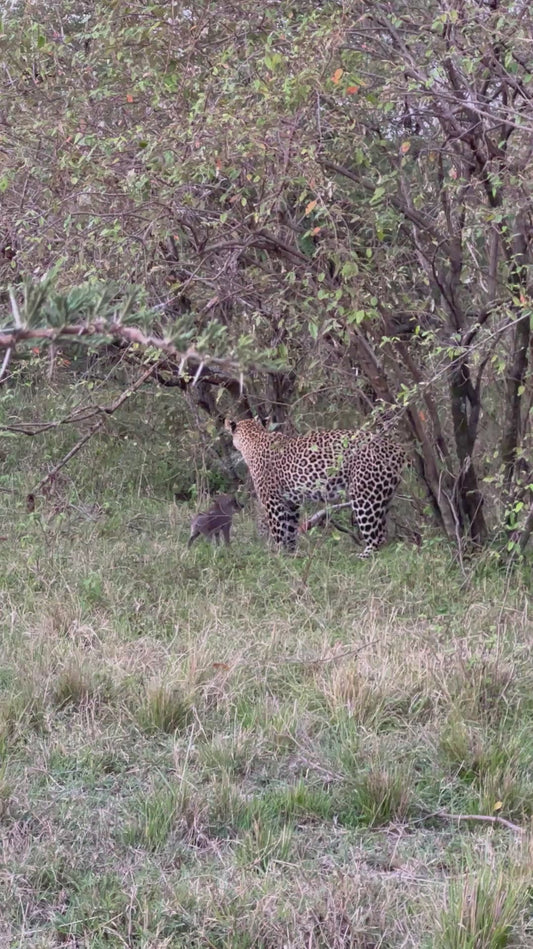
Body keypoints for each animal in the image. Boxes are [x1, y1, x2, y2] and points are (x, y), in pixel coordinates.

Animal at [225, 418, 406, 557]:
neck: (254, 437)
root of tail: (397, 447)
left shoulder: (272, 501)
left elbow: (278, 530)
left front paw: (278, 554)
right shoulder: (291, 502)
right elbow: (290, 530)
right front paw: (291, 554)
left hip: (364, 495)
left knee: (377, 537)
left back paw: (362, 557)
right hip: (382, 494)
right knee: (384, 532)